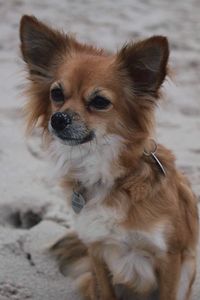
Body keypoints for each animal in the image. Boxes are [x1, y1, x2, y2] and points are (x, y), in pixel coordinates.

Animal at [19, 15, 198, 300]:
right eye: (56, 94)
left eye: (100, 101)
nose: (58, 119)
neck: (106, 173)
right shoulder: (97, 251)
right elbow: (105, 290)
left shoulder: (170, 258)